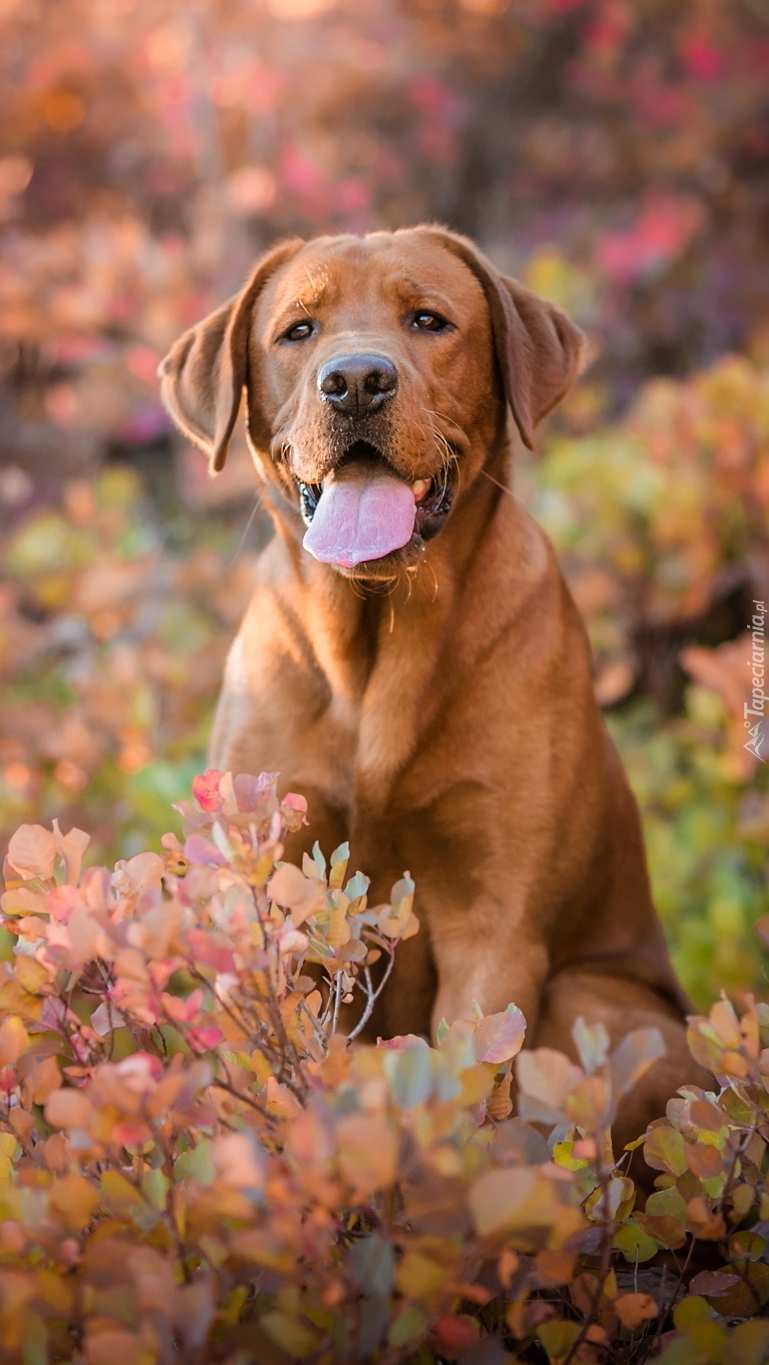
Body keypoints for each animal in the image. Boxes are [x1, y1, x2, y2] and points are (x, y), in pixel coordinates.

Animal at [159, 226, 699, 1152]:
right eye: (298, 331)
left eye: (428, 320)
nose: (356, 380)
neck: (374, 648)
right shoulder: (268, 891)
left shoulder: (496, 925)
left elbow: (469, 1097)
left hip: (602, 1005)